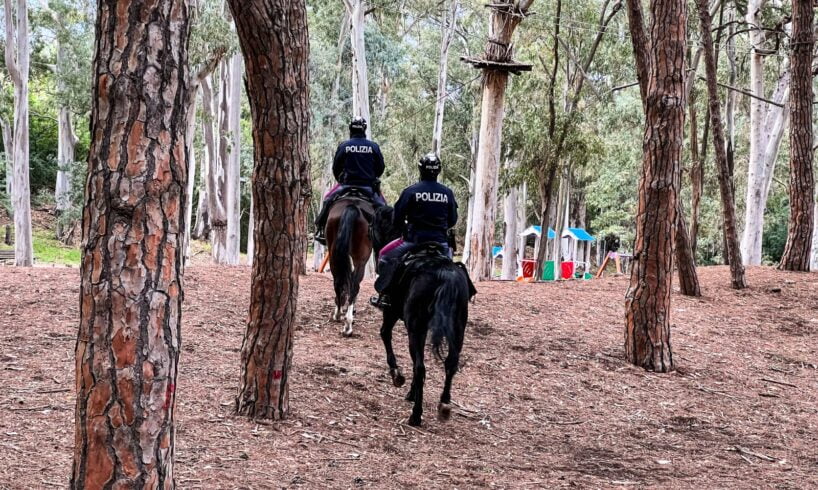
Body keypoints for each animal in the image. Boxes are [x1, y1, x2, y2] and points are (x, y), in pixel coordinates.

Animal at [326, 197, 376, 334]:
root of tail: (352, 206)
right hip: (360, 259)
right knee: (353, 285)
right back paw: (348, 323)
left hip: (334, 254)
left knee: (339, 282)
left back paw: (339, 315)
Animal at [380, 245, 474, 424]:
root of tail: (445, 274)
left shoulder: (391, 312)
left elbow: (385, 334)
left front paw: (397, 375)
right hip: (458, 331)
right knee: (451, 364)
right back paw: (444, 404)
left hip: (416, 329)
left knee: (420, 368)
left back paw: (416, 415)